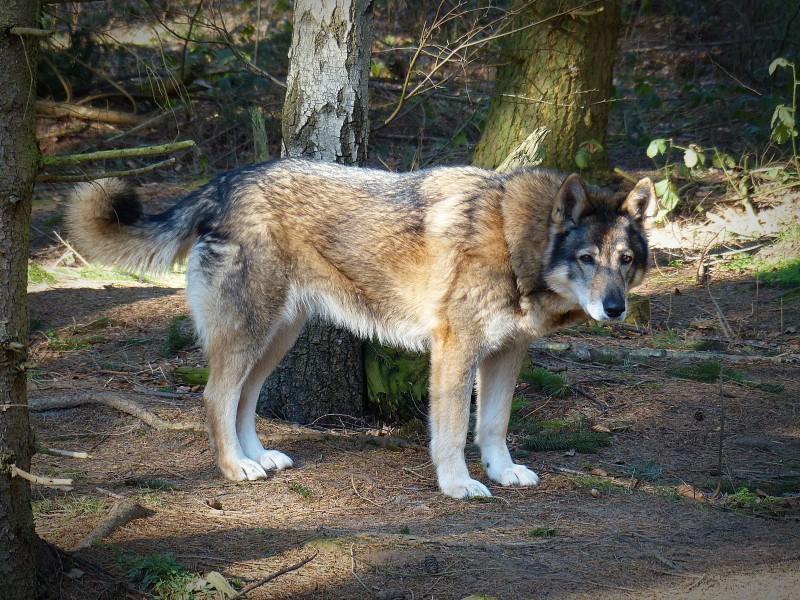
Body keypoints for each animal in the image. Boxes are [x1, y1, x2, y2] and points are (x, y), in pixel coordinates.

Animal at [67, 157, 656, 500]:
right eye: (586, 258)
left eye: (625, 260)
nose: (615, 309)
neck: (514, 241)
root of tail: (224, 182)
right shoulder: (455, 351)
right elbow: (450, 433)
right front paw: (458, 484)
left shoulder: (506, 354)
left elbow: (493, 426)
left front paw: (502, 472)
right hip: (252, 334)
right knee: (216, 398)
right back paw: (235, 468)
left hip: (277, 339)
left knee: (245, 400)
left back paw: (259, 458)